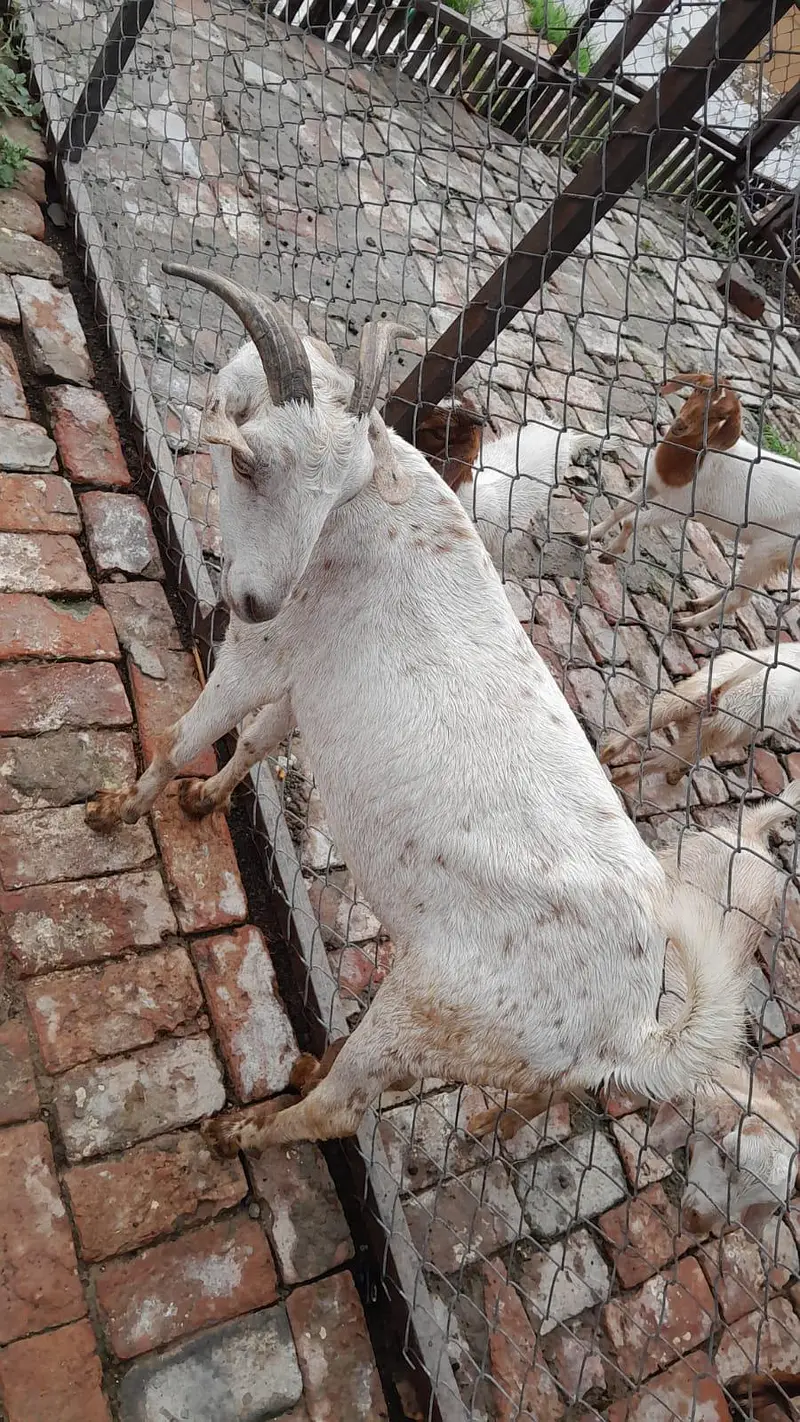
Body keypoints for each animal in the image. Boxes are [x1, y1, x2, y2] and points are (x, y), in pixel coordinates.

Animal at [86, 265, 755, 1162]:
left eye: (326, 488)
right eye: (254, 469)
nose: (257, 597)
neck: (364, 522)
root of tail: (622, 1034)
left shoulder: (264, 650)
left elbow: (189, 733)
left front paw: (118, 808)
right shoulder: (307, 675)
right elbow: (258, 741)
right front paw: (205, 799)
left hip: (430, 1008)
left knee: (344, 1107)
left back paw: (243, 1131)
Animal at [577, 373, 800, 631]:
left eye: (720, 416)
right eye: (699, 389)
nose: (680, 425)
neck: (693, 460)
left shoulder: (682, 507)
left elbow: (633, 520)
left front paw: (611, 553)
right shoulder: (653, 483)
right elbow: (621, 509)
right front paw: (585, 535)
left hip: (771, 549)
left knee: (740, 598)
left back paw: (689, 622)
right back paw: (698, 603)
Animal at [601, 642, 800, 788]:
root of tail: (716, 697)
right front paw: (674, 778)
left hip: (676, 700)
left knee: (629, 734)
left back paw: (605, 758)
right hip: (706, 738)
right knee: (659, 764)